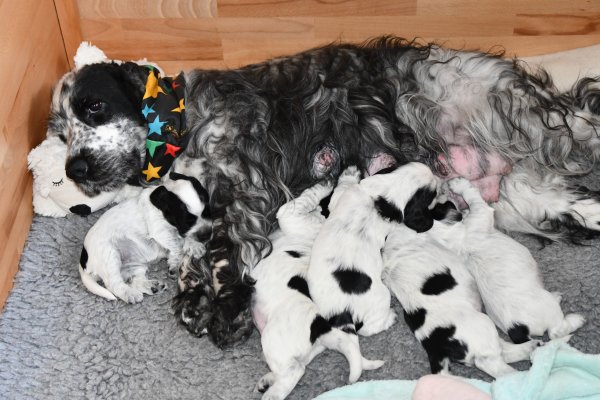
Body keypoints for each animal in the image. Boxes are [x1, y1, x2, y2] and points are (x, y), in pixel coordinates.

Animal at [79, 171, 212, 303]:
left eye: (207, 212)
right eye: (187, 222)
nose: (207, 234)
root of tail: (84, 261)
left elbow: (184, 237)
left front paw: (194, 245)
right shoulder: (160, 231)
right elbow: (178, 244)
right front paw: (175, 262)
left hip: (132, 266)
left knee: (134, 280)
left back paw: (153, 286)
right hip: (110, 256)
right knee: (114, 284)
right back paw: (130, 294)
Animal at [251, 180, 383, 400]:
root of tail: (322, 327)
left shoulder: (292, 217)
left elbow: (302, 201)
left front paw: (322, 185)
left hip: (273, 338)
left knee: (295, 371)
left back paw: (272, 393)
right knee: (295, 365)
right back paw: (268, 381)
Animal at [307, 163, 439, 338]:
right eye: (433, 194)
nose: (440, 180)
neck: (382, 197)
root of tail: (345, 311)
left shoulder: (341, 198)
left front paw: (350, 172)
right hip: (382, 298)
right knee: (368, 328)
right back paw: (391, 318)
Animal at [382, 202, 540, 377]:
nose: (458, 209)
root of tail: (437, 349)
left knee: (503, 351)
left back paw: (532, 347)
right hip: (483, 325)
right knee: (492, 363)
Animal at [439, 178, 586, 343]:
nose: (443, 186)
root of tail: (517, 328)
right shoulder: (480, 214)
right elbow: (473, 197)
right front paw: (459, 184)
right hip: (549, 310)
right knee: (556, 332)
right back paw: (576, 319)